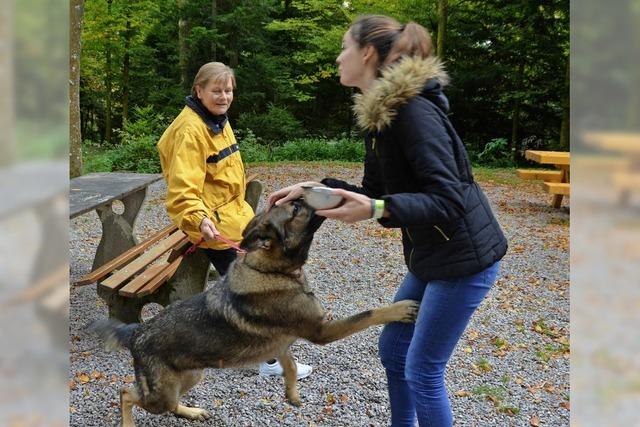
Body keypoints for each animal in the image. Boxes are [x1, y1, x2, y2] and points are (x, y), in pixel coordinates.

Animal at [91, 199, 420, 426]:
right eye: (297, 207)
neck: (273, 270)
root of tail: (137, 332)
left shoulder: (282, 343)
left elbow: (289, 365)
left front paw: (291, 393)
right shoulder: (321, 331)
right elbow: (369, 313)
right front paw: (399, 308)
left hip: (190, 376)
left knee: (167, 402)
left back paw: (191, 411)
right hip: (163, 391)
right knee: (126, 394)